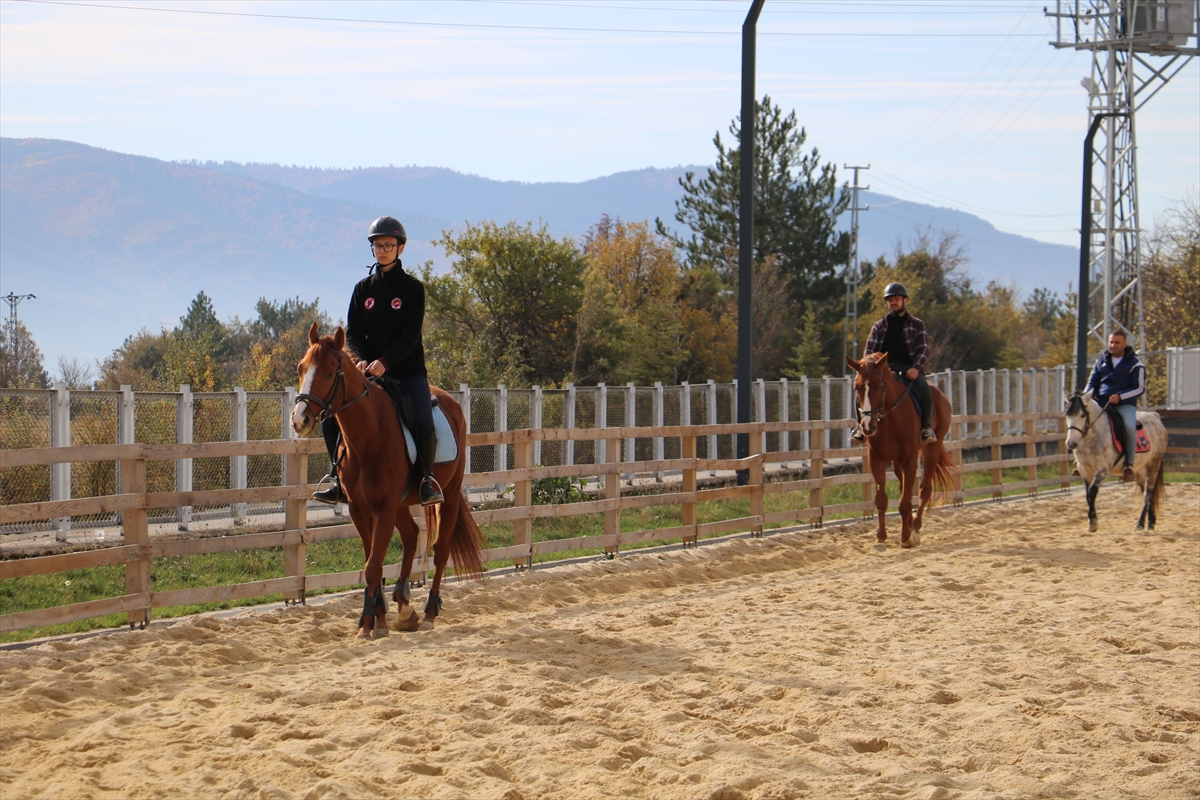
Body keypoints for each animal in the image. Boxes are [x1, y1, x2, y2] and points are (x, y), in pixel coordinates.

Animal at [290, 321, 482, 642]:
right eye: (301, 369)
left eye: (329, 372)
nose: (299, 419)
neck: (368, 435)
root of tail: (451, 402)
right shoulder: (360, 508)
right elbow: (373, 563)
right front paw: (375, 620)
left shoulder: (383, 508)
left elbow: (373, 566)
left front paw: (369, 624)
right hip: (401, 504)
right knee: (411, 537)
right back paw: (404, 605)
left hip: (448, 496)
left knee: (440, 551)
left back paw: (428, 614)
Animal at [844, 352, 955, 546]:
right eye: (857, 387)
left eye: (880, 385)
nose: (868, 426)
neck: (889, 419)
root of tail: (941, 395)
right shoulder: (877, 459)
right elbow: (882, 500)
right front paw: (880, 538)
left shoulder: (910, 459)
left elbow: (906, 501)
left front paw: (906, 537)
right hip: (896, 462)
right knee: (905, 488)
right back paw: (909, 525)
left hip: (931, 450)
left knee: (924, 489)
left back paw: (915, 528)